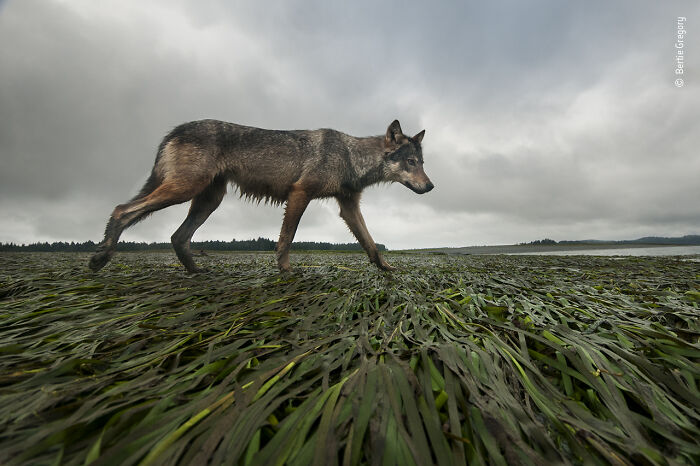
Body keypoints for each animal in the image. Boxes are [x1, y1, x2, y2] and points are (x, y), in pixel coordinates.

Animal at [88, 119, 434, 273]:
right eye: (411, 162)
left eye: (422, 163)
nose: (431, 187)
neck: (350, 156)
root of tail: (174, 130)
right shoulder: (299, 194)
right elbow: (287, 238)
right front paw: (286, 272)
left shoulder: (348, 207)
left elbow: (370, 243)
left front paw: (387, 270)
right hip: (183, 191)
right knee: (121, 209)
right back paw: (100, 257)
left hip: (207, 200)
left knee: (177, 236)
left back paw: (197, 272)